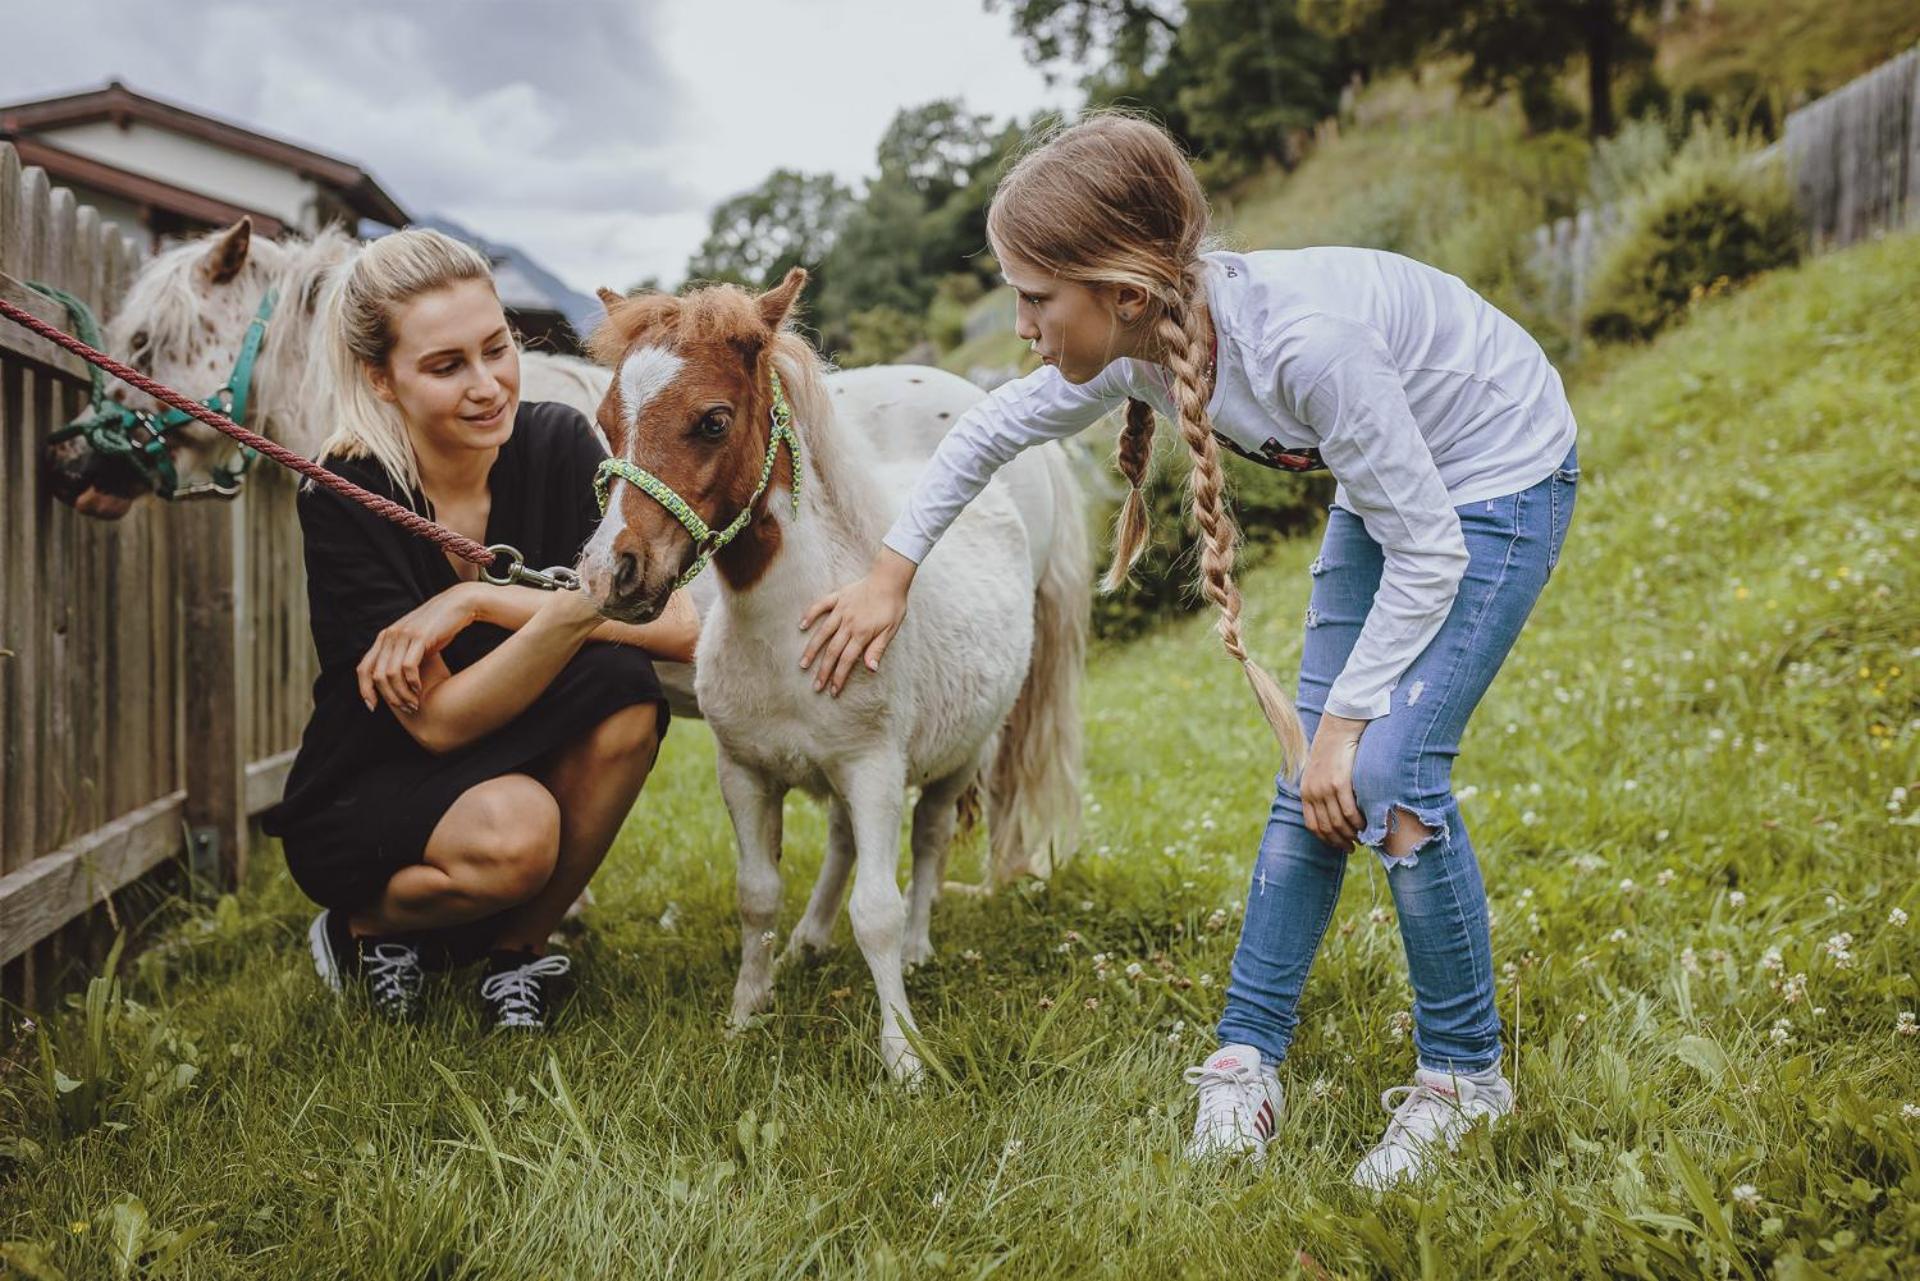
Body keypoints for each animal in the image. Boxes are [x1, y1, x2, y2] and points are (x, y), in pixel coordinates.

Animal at [576, 270, 1090, 1083]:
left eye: (713, 421)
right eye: (605, 422)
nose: (610, 574)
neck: (790, 627)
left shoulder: (874, 767)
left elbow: (876, 910)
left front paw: (904, 1057)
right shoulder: (747, 771)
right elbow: (757, 896)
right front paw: (745, 1016)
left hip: (957, 759)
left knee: (930, 840)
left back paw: (917, 950)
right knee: (846, 843)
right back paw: (809, 943)